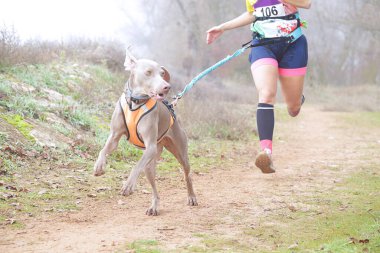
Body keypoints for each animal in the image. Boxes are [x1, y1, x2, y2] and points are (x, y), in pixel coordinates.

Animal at [93, 50, 197, 215]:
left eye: (162, 73)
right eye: (148, 72)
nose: (167, 86)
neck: (135, 102)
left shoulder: (150, 146)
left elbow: (136, 166)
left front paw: (128, 185)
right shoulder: (114, 136)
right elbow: (103, 150)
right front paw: (99, 166)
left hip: (177, 152)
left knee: (187, 175)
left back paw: (191, 197)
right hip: (150, 164)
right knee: (154, 188)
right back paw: (154, 206)